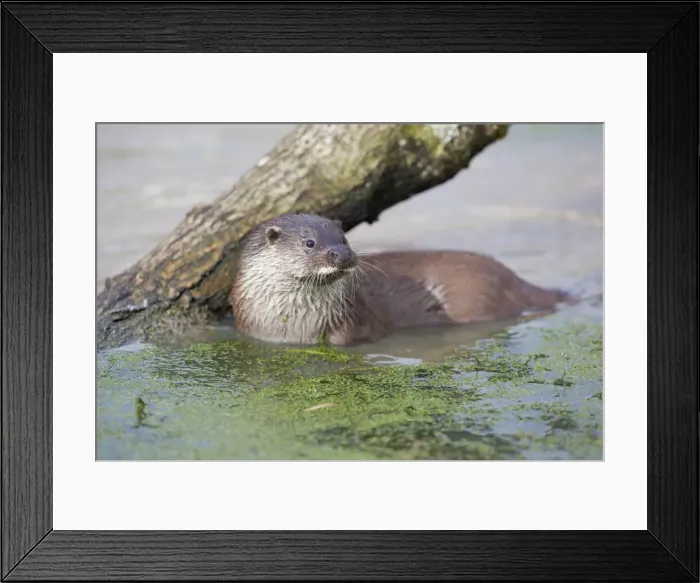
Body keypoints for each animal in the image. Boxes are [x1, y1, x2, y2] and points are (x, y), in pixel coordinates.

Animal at [229, 213, 570, 346]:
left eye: (344, 238)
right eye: (310, 243)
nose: (343, 254)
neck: (290, 325)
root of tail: (512, 277)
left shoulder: (355, 324)